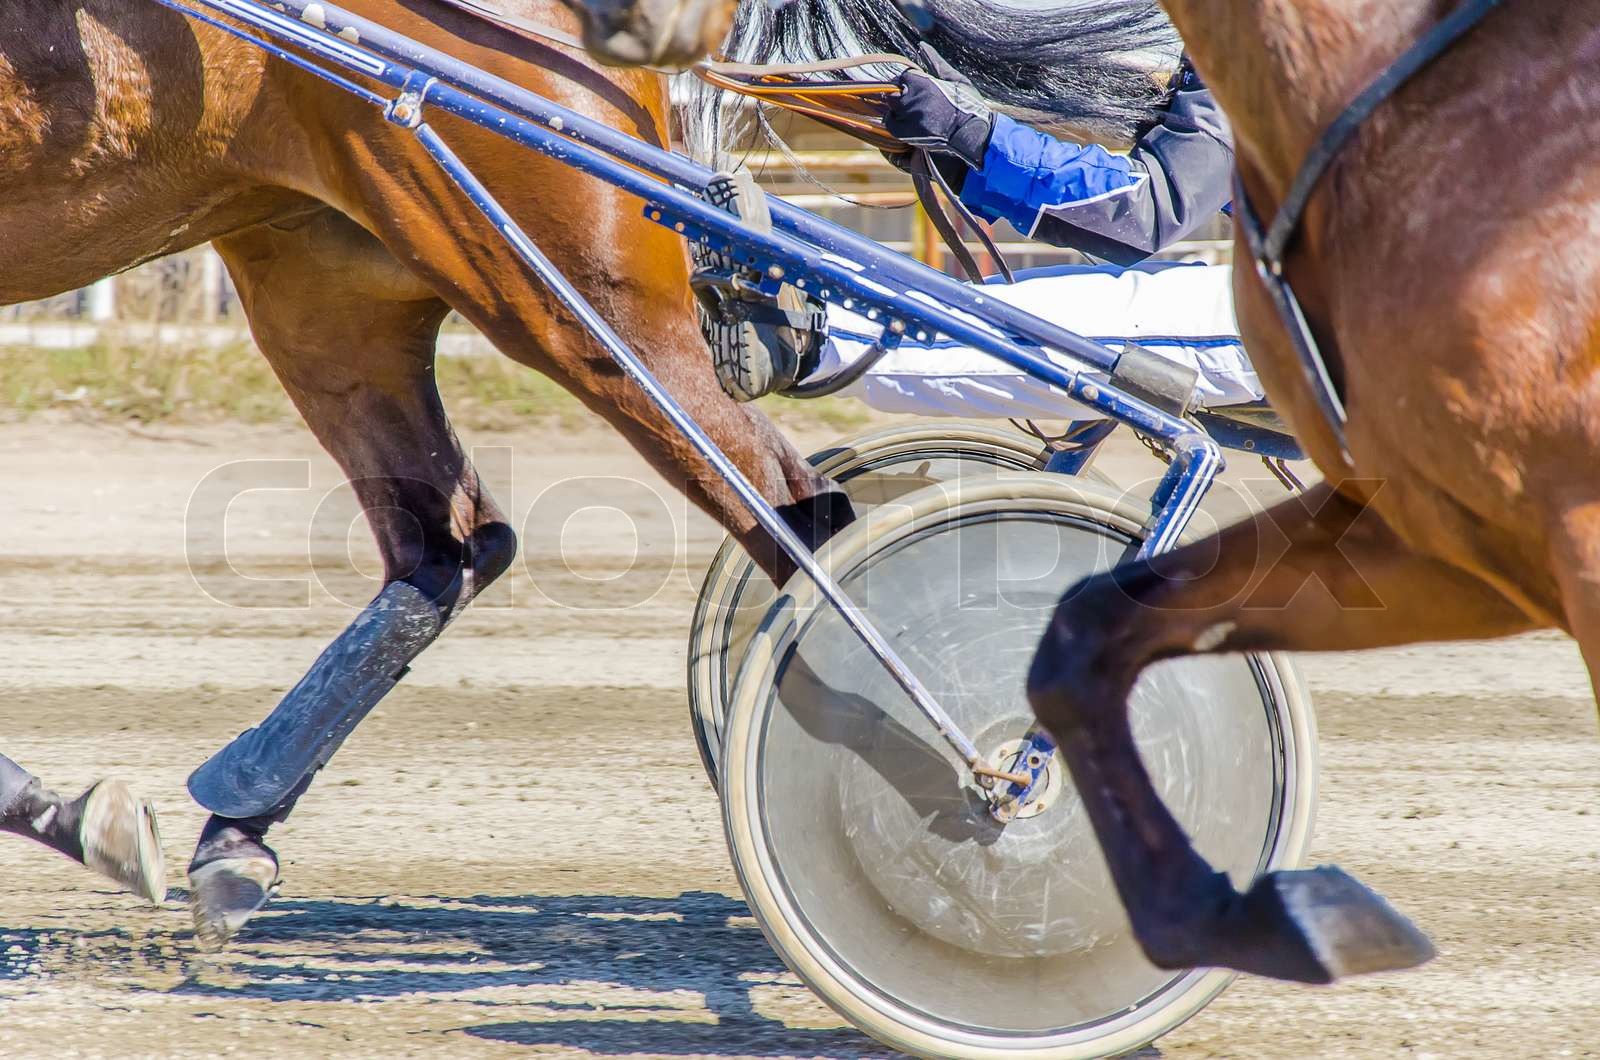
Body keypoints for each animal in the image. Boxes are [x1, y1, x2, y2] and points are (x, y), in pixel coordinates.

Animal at [0, 0, 1169, 948]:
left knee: (801, 519)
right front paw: (75, 814)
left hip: (566, 287)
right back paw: (235, 821)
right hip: (326, 271)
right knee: (450, 547)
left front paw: (64, 810)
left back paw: (984, 780)